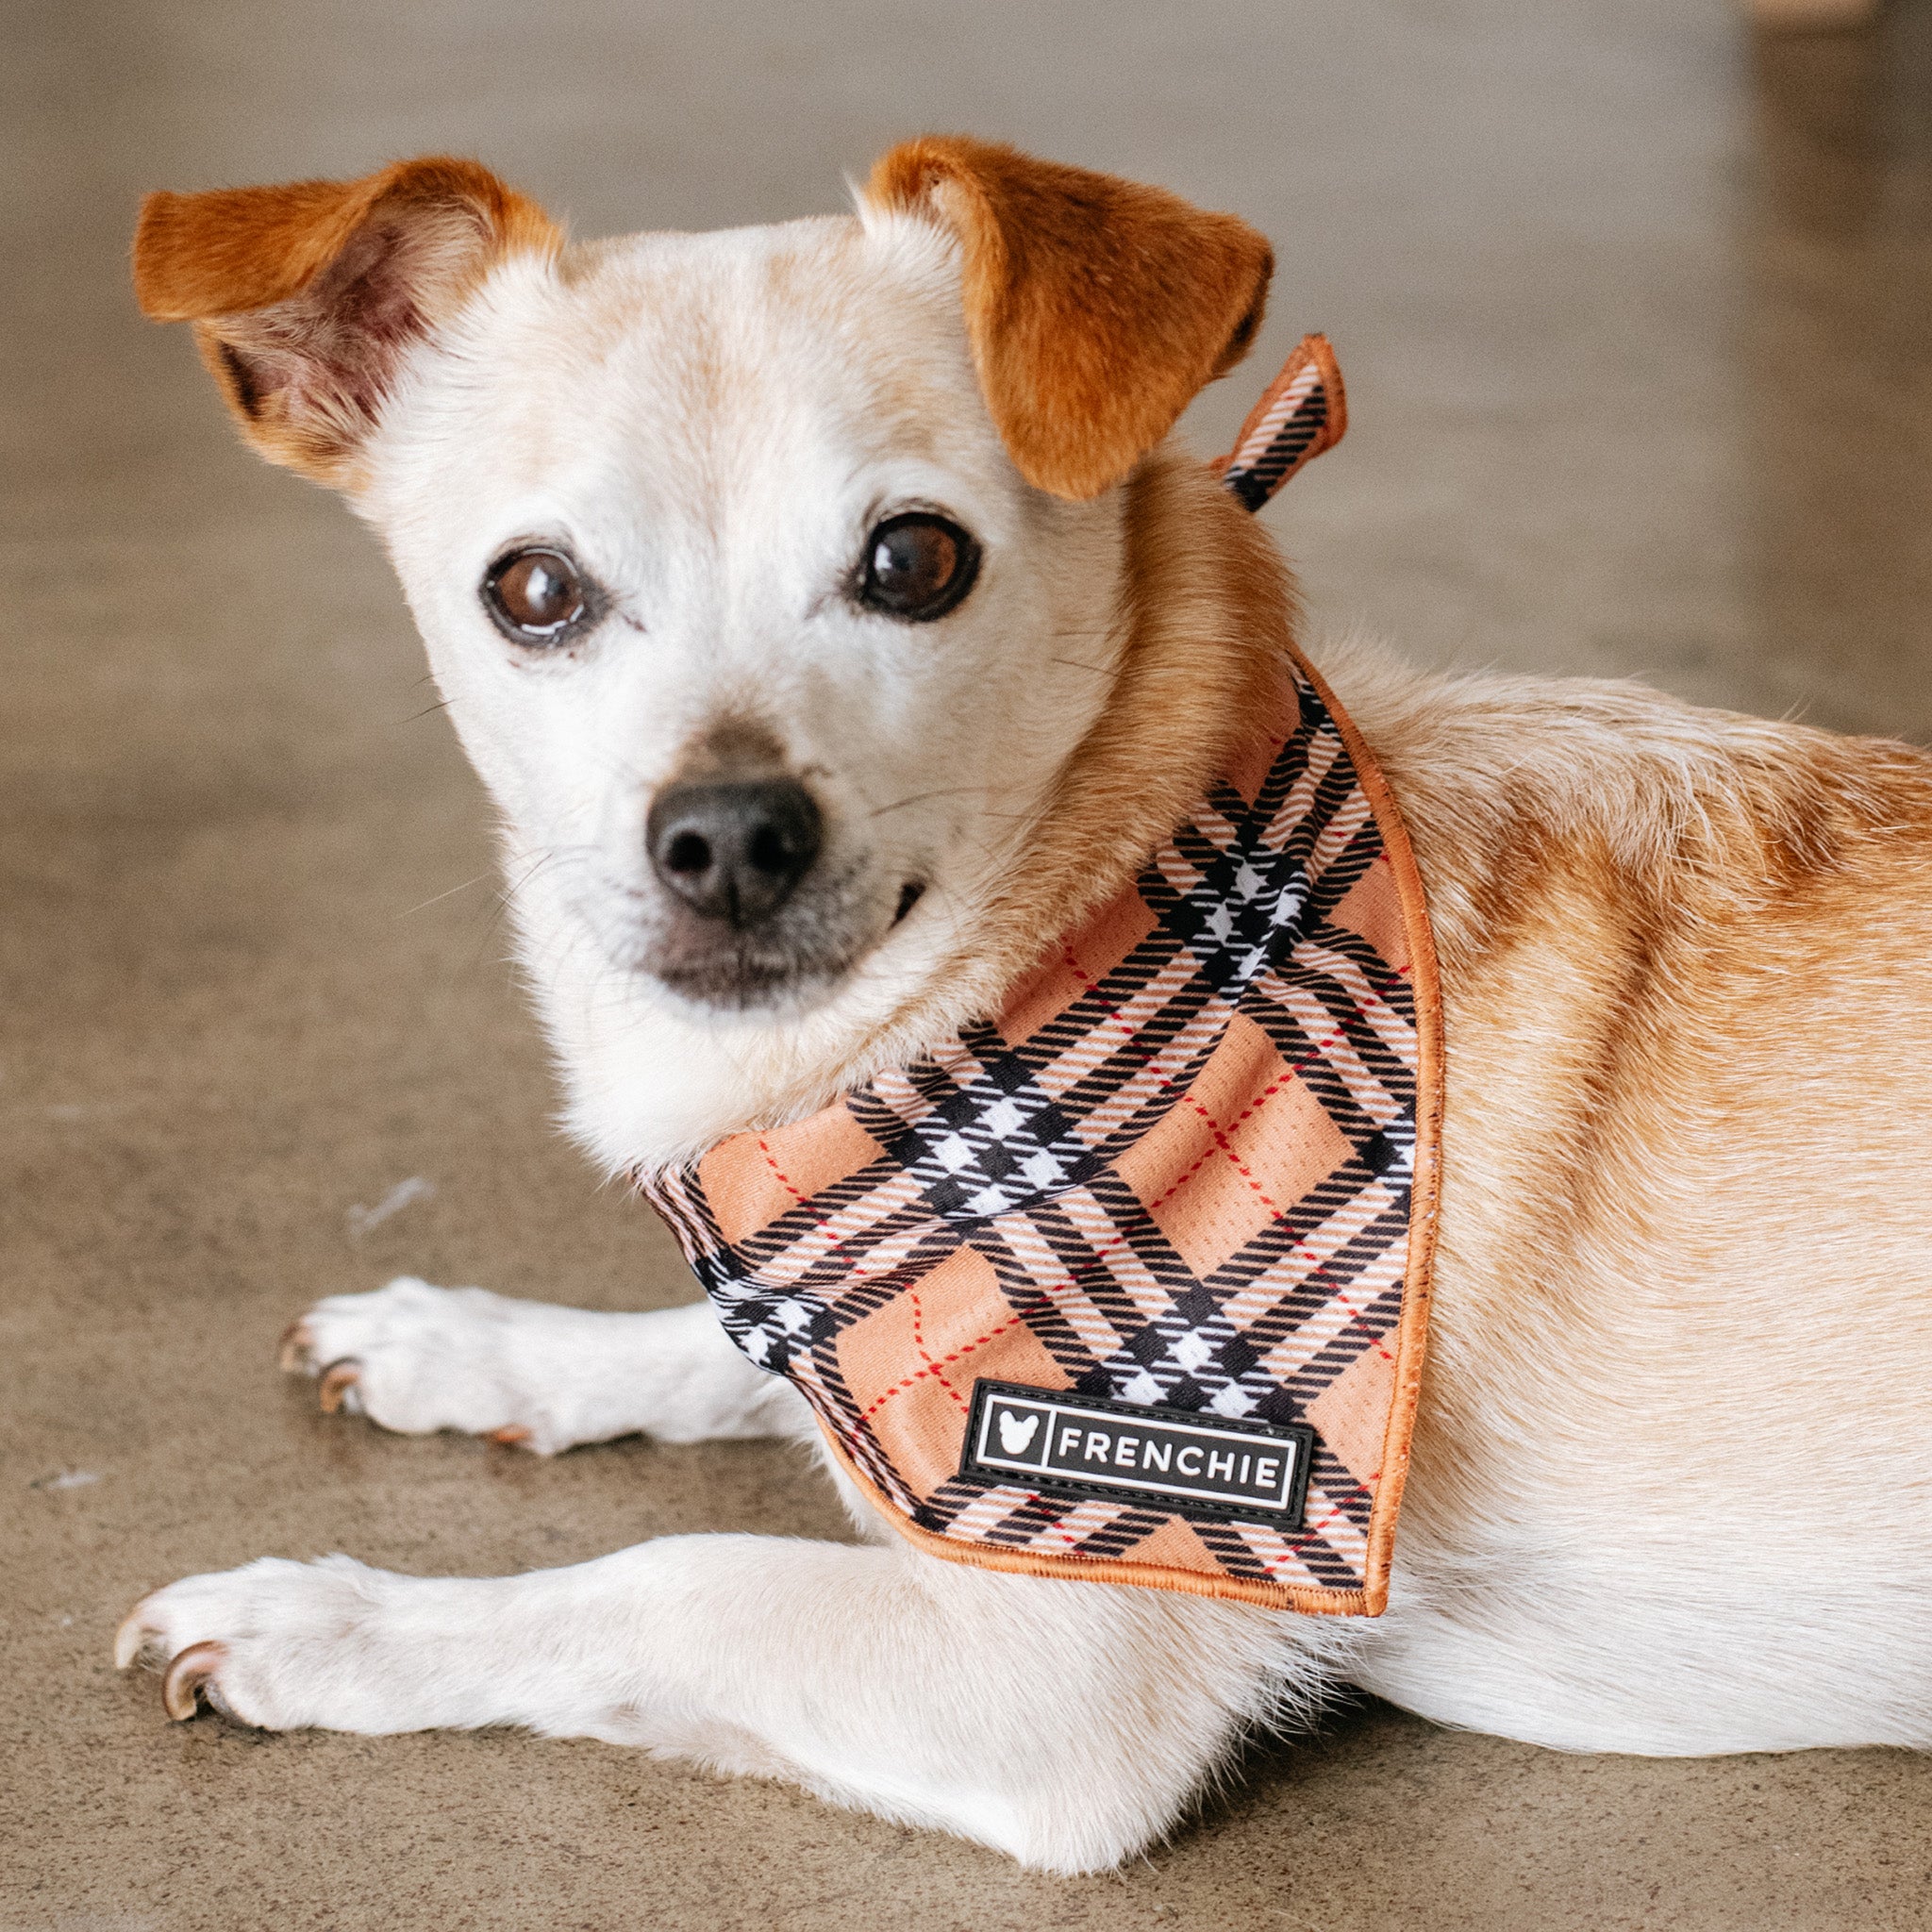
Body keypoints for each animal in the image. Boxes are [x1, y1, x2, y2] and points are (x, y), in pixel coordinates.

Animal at [116, 140, 1932, 1870]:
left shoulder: (1046, 1668)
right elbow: (729, 1348)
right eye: (535, 591)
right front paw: (481, 1344)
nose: (727, 837)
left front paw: (329, 1620)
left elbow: (658, 1575)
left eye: (913, 561)